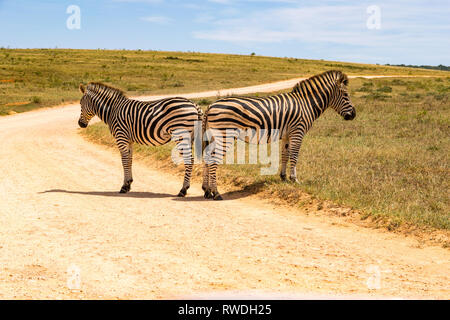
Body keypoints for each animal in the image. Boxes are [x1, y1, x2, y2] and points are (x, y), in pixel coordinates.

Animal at [203, 70, 356, 200]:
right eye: (346, 95)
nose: (354, 115)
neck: (306, 104)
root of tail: (211, 106)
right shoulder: (298, 131)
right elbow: (294, 156)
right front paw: (294, 179)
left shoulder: (287, 134)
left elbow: (285, 155)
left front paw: (284, 178)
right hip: (224, 135)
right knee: (214, 159)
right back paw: (216, 193)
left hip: (212, 136)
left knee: (207, 157)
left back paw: (207, 190)